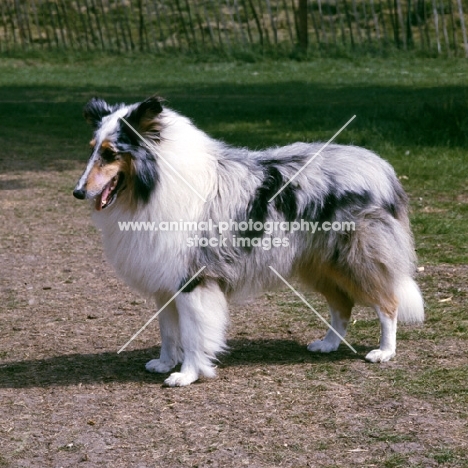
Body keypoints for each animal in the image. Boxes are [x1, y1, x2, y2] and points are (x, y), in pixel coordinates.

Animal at [73, 96, 424, 388]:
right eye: (91, 149)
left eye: (110, 154)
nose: (77, 192)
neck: (156, 184)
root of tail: (381, 168)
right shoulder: (165, 282)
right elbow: (168, 331)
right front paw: (164, 363)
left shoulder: (193, 280)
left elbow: (193, 333)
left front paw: (186, 374)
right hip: (319, 263)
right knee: (342, 304)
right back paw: (328, 344)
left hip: (356, 258)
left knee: (388, 303)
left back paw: (384, 352)